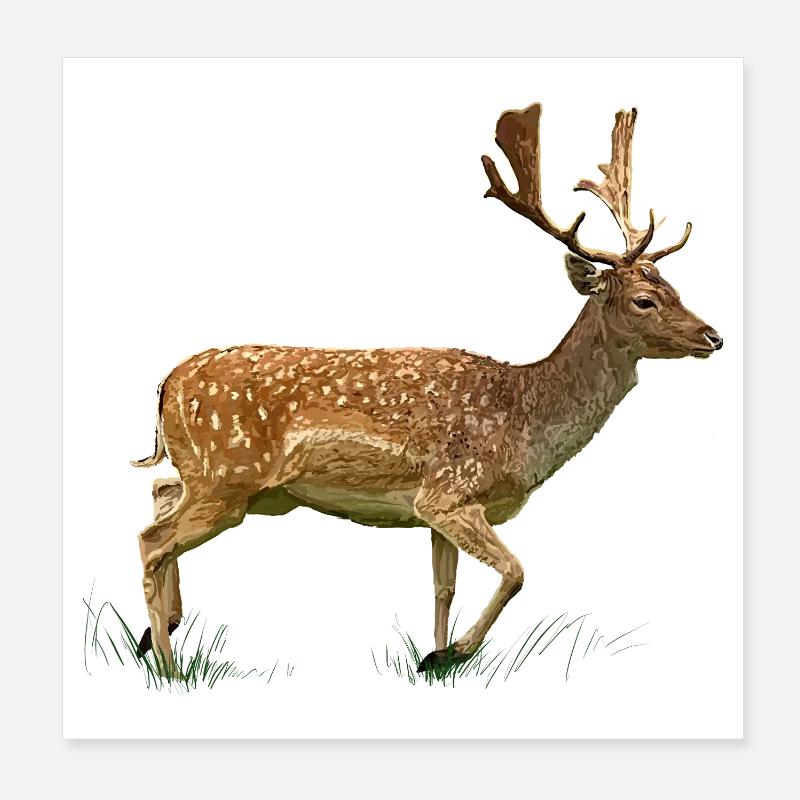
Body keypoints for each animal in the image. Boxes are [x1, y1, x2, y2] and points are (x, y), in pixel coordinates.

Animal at [132, 101, 722, 674]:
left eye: (676, 288)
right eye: (644, 300)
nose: (713, 336)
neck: (523, 417)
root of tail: (164, 385)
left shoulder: (431, 511)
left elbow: (444, 587)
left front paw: (432, 657)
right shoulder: (449, 491)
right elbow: (516, 571)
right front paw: (452, 652)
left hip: (236, 485)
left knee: (159, 494)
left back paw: (156, 634)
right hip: (228, 477)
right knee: (151, 540)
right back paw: (166, 662)